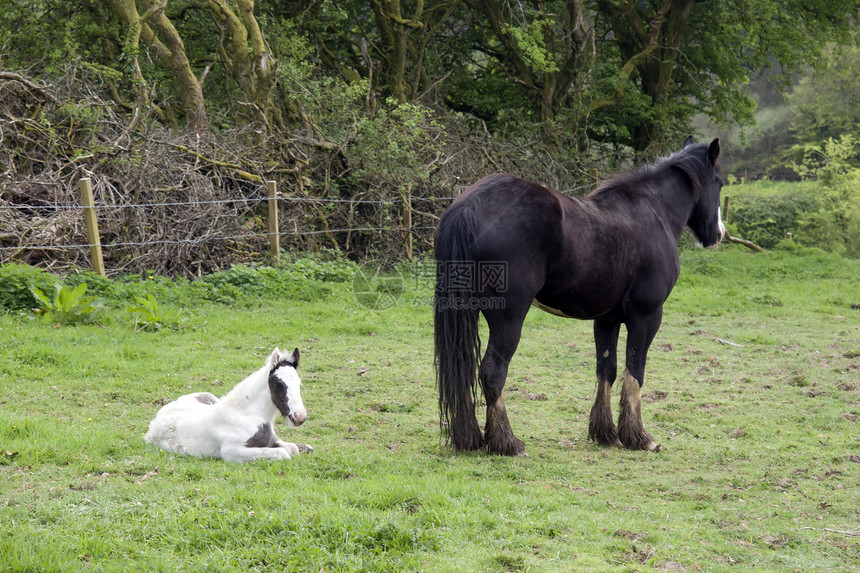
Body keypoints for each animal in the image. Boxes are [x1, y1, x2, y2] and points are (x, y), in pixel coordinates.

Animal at [144, 346, 312, 462]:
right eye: (279, 384)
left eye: (299, 383)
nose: (300, 417)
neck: (247, 415)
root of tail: (155, 421)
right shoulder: (231, 451)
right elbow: (283, 453)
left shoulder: (272, 441)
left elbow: (293, 448)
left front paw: (304, 447)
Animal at [434, 136, 724, 454]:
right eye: (720, 183)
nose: (718, 234)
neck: (653, 211)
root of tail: (468, 206)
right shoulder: (646, 317)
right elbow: (635, 372)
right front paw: (638, 437)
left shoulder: (607, 319)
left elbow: (607, 369)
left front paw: (606, 433)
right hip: (508, 319)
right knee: (492, 371)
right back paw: (507, 442)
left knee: (462, 369)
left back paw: (469, 438)